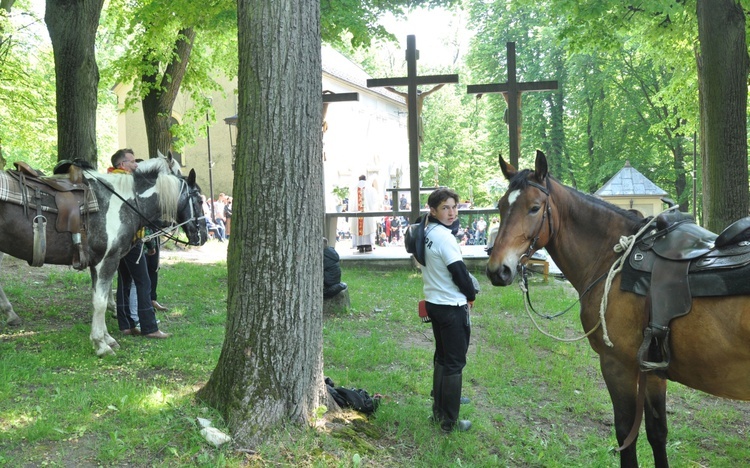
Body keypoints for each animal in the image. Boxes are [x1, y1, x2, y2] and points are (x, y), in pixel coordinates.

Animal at [0, 155, 207, 356]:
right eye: (200, 200)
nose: (204, 236)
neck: (124, 202)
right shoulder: (107, 260)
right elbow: (100, 301)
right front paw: (101, 344)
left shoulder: (98, 263)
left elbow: (99, 297)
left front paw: (108, 338)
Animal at [488, 151, 750, 468]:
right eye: (501, 206)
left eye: (534, 208)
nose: (498, 270)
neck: (612, 259)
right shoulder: (652, 369)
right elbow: (657, 432)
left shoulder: (618, 365)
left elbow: (626, 435)